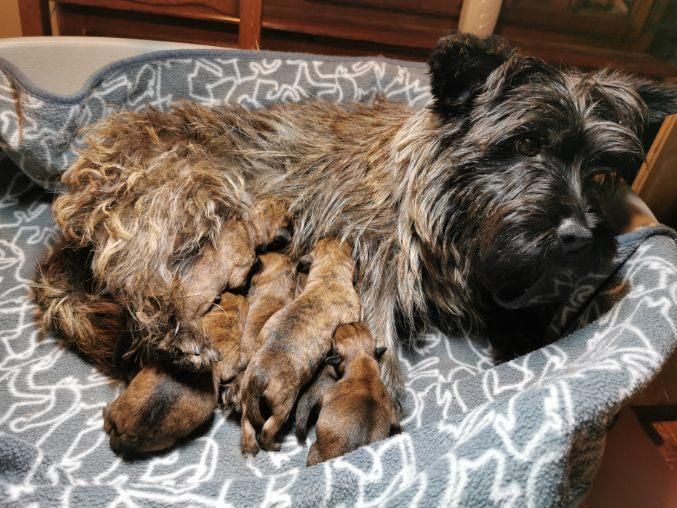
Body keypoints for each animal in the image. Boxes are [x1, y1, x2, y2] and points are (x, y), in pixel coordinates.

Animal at [240, 240, 362, 454]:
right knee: (268, 429)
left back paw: (250, 446)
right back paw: (274, 445)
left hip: (248, 400)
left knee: (247, 422)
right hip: (283, 405)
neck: (328, 276)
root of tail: (258, 377)